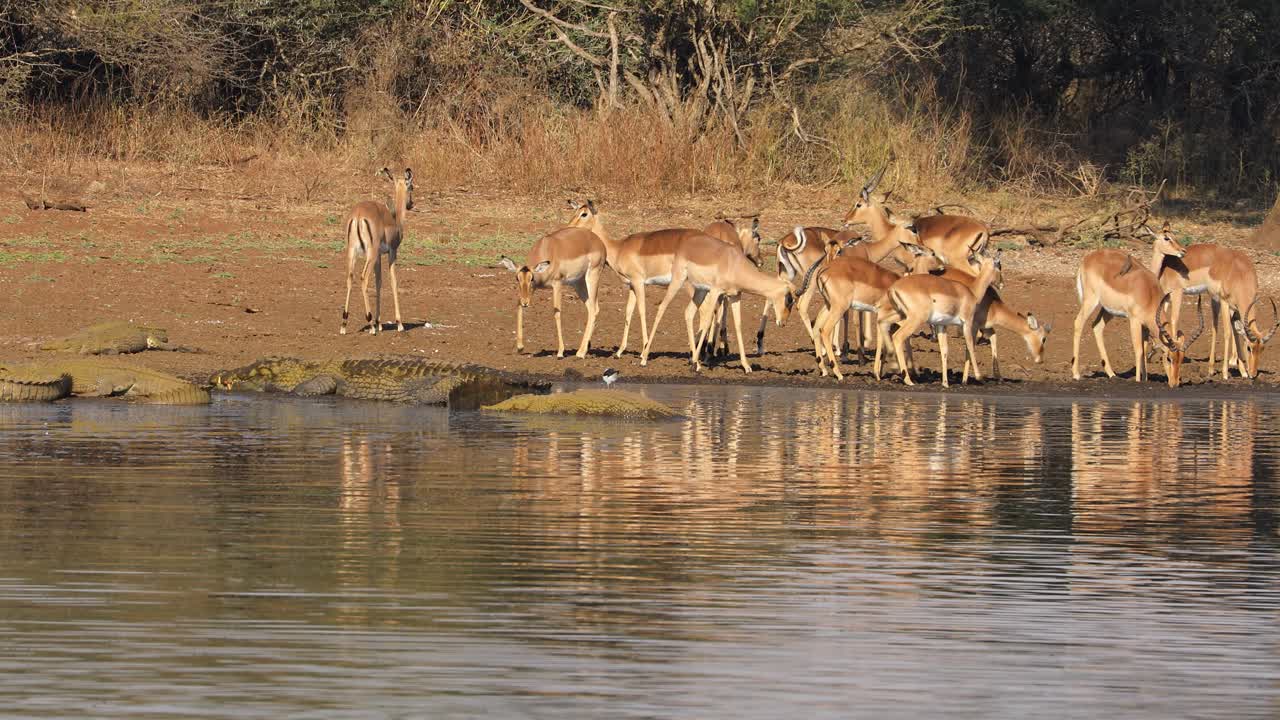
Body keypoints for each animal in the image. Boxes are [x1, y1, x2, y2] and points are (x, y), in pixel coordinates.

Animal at [341, 167, 414, 335]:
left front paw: (379, 322)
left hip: (352, 253)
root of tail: (358, 215)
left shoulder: (379, 256)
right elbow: (393, 281)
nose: (411, 204)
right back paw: (370, 325)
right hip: (370, 254)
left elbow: (378, 282)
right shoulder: (392, 252)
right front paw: (399, 324)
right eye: (411, 187)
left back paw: (344, 324)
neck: (395, 220)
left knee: (350, 278)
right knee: (363, 278)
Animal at [498, 225, 605, 359]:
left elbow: (557, 313)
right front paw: (520, 347)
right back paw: (584, 349)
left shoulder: (557, 284)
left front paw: (560, 352)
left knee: (593, 309)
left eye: (531, 278)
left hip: (592, 276)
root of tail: (599, 242)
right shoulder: (532, 290)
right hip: (578, 283)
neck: (545, 248)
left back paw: (580, 353)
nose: (525, 303)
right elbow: (518, 306)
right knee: (593, 308)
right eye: (517, 278)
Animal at [642, 230, 815, 372]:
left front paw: (746, 366)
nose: (783, 323)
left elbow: (738, 325)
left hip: (700, 290)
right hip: (679, 281)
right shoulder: (716, 291)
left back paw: (693, 360)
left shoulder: (735, 296)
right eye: (789, 299)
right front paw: (696, 364)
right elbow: (707, 321)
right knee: (662, 308)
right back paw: (644, 358)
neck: (734, 263)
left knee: (688, 313)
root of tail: (686, 243)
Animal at [880, 250, 1003, 388]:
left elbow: (944, 350)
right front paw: (979, 377)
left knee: (882, 324)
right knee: (897, 336)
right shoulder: (967, 323)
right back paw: (908, 380)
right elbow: (970, 347)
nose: (1001, 284)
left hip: (899, 315)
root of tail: (893, 288)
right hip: (914, 319)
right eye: (999, 265)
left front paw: (945, 383)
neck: (971, 292)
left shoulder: (941, 325)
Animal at [1071, 243, 1205, 387]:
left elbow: (1144, 350)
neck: (1149, 292)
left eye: (1181, 359)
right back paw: (1076, 374)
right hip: (1091, 300)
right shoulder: (1134, 321)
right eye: (1168, 358)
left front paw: (1145, 379)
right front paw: (1138, 380)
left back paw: (1112, 374)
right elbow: (1138, 350)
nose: (1174, 384)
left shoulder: (1146, 326)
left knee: (1097, 326)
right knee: (1078, 322)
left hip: (1108, 310)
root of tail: (1087, 258)